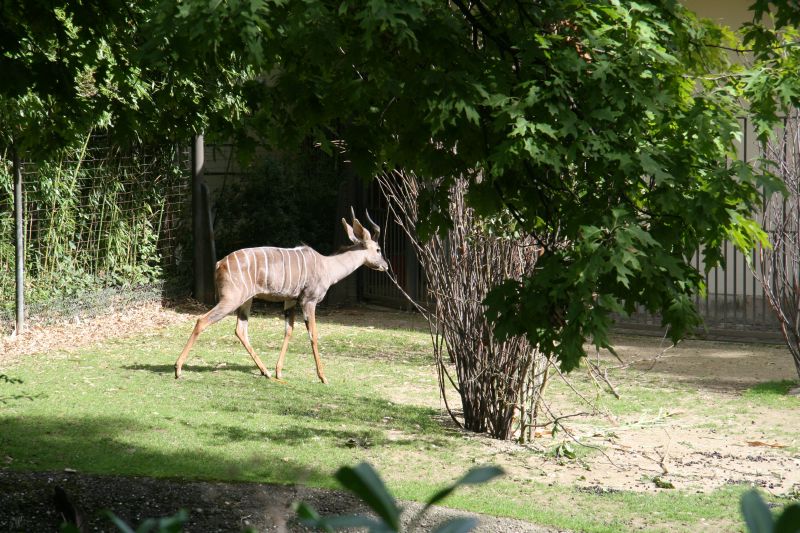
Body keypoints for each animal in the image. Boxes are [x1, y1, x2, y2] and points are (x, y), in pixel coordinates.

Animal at [174, 209, 388, 382]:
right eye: (378, 249)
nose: (385, 266)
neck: (327, 266)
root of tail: (220, 263)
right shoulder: (309, 301)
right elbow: (313, 334)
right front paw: (323, 377)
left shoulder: (290, 301)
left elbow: (289, 330)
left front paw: (278, 371)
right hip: (231, 300)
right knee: (202, 321)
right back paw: (178, 369)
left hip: (246, 301)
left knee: (240, 330)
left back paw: (265, 372)